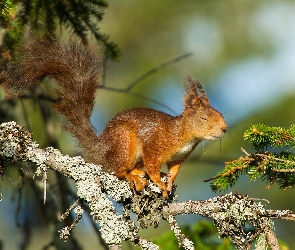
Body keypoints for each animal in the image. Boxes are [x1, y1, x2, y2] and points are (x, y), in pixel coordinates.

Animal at [0, 38, 227, 197]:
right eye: (204, 118)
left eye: (221, 114)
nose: (224, 129)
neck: (183, 134)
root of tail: (102, 150)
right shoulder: (155, 145)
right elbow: (153, 165)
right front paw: (159, 181)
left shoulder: (179, 157)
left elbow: (174, 170)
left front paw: (169, 181)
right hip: (125, 142)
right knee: (115, 170)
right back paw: (132, 176)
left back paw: (137, 173)